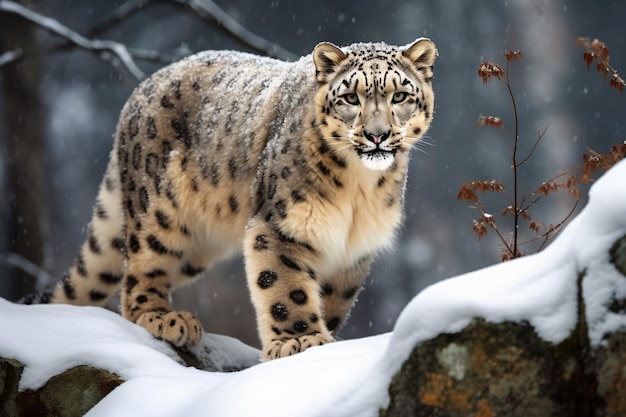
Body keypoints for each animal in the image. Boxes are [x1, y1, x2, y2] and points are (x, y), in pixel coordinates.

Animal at [23, 37, 434, 360]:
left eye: (400, 95)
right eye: (350, 97)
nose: (378, 135)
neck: (358, 188)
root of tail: (140, 91)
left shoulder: (354, 248)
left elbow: (332, 299)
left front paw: (323, 337)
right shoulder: (279, 226)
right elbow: (286, 288)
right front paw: (300, 341)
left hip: (198, 244)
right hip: (158, 212)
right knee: (137, 275)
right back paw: (166, 319)